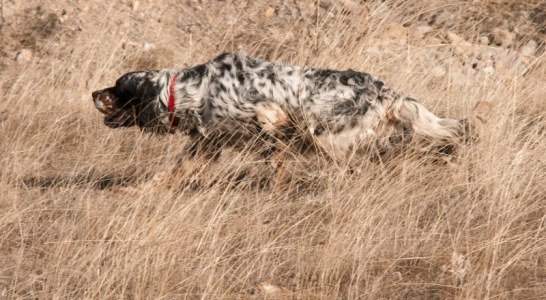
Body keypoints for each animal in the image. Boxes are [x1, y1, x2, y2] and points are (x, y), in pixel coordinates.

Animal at [91, 53, 486, 186]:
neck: (191, 91)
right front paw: (141, 190)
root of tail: (385, 90)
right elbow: (173, 172)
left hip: (330, 135)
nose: (94, 93)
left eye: (118, 88)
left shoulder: (272, 117)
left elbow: (273, 135)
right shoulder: (208, 142)